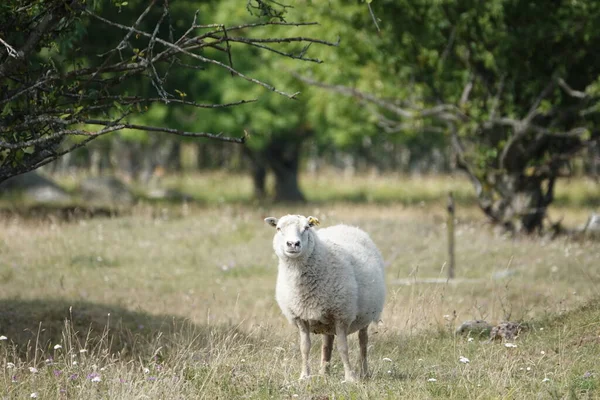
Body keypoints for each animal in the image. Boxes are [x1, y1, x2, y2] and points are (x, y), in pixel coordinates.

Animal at [264, 214, 386, 382]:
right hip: (327, 319)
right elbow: (305, 347)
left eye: (306, 227)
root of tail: (345, 226)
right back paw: (324, 372)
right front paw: (304, 376)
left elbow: (343, 347)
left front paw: (349, 377)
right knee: (327, 344)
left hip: (364, 316)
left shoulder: (342, 316)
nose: (293, 244)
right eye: (278, 228)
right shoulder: (301, 317)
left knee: (363, 342)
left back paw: (364, 372)